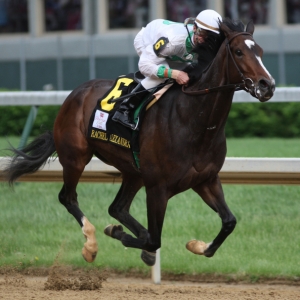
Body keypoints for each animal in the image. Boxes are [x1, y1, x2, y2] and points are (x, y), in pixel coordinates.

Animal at [2, 19, 274, 266]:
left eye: (260, 51)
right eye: (239, 51)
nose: (267, 85)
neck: (193, 120)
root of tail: (75, 94)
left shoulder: (205, 180)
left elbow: (229, 222)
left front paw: (196, 245)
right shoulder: (157, 188)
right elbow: (154, 239)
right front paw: (120, 235)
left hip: (133, 171)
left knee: (117, 208)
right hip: (75, 157)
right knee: (68, 198)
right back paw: (90, 245)